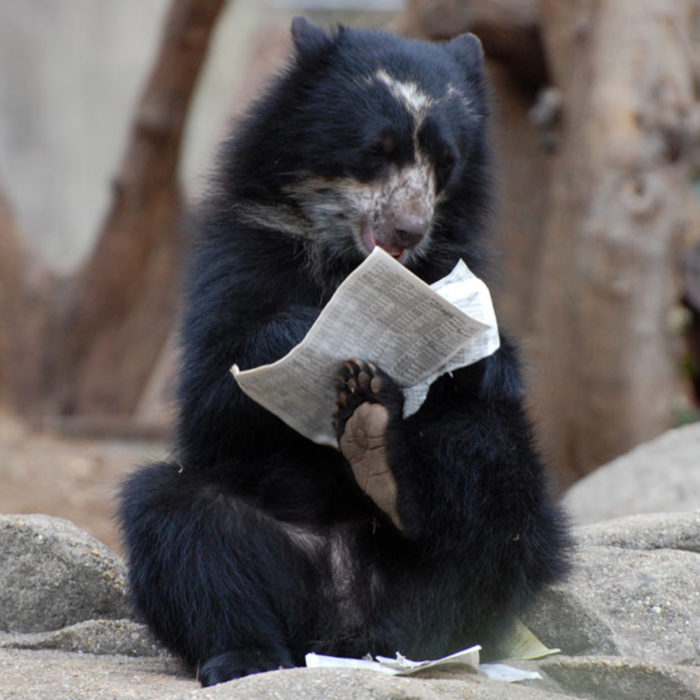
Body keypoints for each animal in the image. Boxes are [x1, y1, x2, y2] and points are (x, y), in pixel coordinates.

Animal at [119, 17, 568, 688]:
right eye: (375, 151)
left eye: (445, 163)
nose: (410, 229)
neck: (345, 259)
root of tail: (353, 632)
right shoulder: (237, 253)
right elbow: (211, 392)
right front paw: (307, 331)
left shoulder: (457, 258)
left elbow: (491, 375)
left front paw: (482, 355)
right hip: (264, 564)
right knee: (176, 518)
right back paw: (243, 656)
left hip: (463, 570)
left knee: (500, 478)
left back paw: (378, 449)